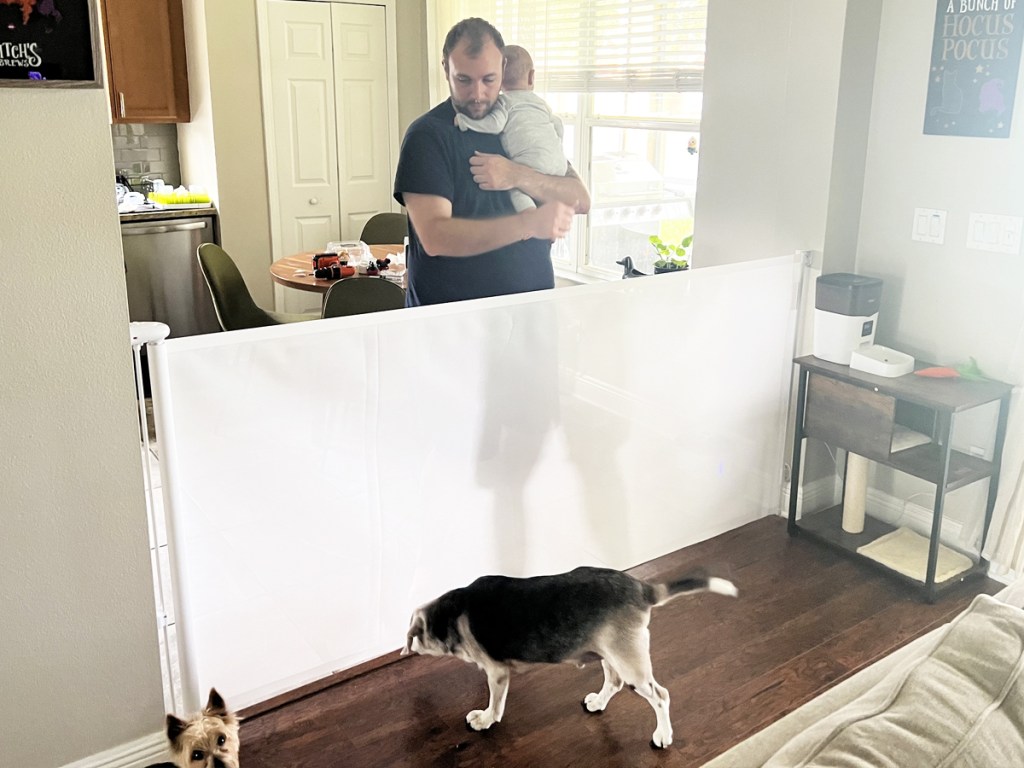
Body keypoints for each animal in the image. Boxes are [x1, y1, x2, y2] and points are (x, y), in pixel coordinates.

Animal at [399, 569, 737, 749]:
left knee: (661, 696)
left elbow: (494, 705)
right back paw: (598, 702)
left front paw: (484, 719)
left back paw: (663, 734)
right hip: (609, 653)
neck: (452, 613)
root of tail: (641, 589)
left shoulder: (496, 672)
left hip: (632, 666)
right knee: (613, 683)